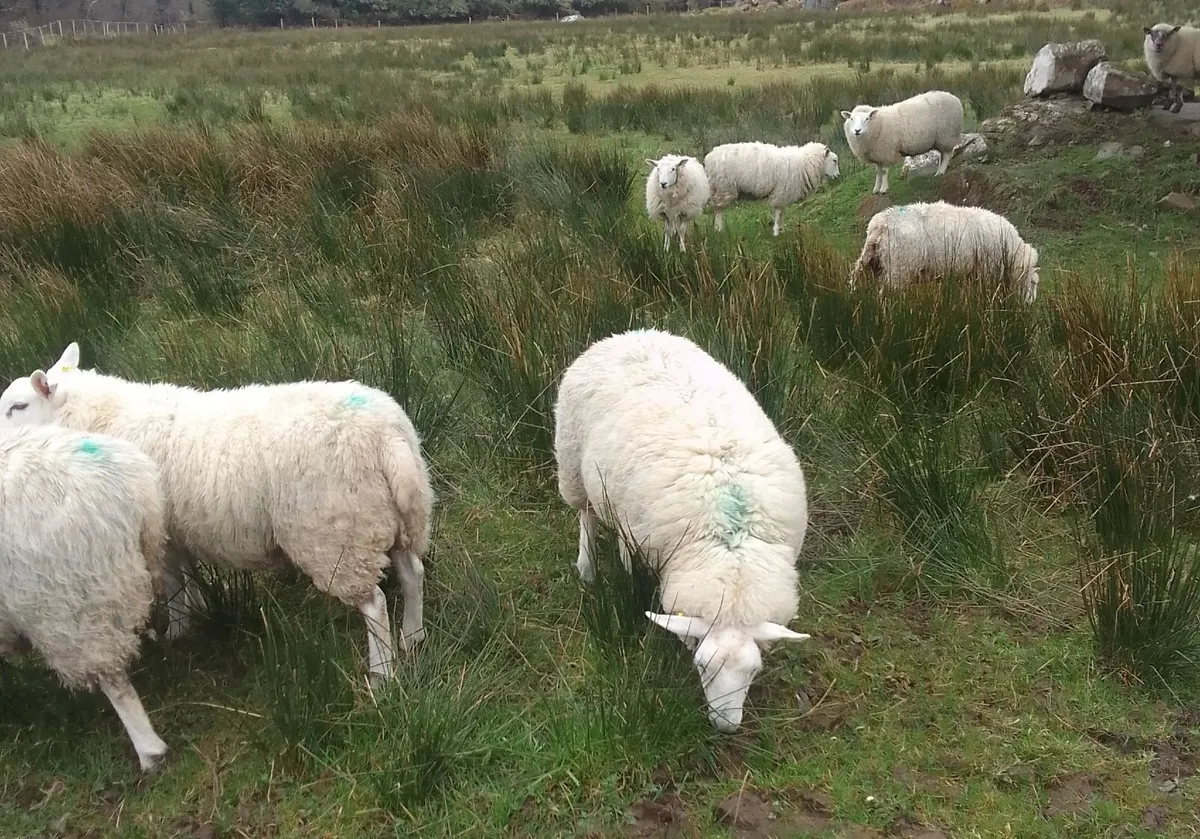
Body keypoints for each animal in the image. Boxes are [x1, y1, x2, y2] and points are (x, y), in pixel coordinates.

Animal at [0, 342, 434, 689]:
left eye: (18, 406)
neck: (100, 419)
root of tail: (387, 436)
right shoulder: (175, 533)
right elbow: (188, 579)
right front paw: (196, 615)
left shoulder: (157, 534)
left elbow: (172, 588)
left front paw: (176, 632)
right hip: (391, 516)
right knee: (412, 572)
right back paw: (412, 636)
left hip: (337, 532)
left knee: (374, 603)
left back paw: (382, 674)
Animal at [553, 328, 811, 733]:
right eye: (701, 666)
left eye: (753, 672)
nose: (726, 726)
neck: (732, 552)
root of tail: (629, 334)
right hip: (572, 465)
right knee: (587, 516)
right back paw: (588, 568)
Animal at [703, 141, 840, 236]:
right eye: (834, 161)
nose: (838, 176)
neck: (805, 163)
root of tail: (709, 158)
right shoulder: (781, 193)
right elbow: (778, 214)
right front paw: (776, 232)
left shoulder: (783, 195)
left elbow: (781, 213)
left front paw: (782, 230)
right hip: (724, 187)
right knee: (718, 210)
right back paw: (719, 229)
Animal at [849, 200, 1040, 304]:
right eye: (1032, 283)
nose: (1030, 304)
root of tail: (879, 225)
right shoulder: (987, 272)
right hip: (898, 270)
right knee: (886, 296)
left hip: (871, 262)